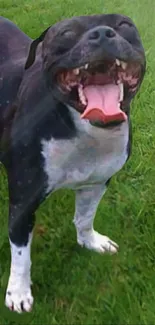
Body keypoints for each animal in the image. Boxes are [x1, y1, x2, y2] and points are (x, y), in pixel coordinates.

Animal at [0, 13, 145, 312]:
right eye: (66, 33)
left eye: (124, 25)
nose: (102, 33)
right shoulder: (22, 203)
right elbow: (21, 253)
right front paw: (18, 292)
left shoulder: (97, 182)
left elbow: (85, 217)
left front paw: (90, 241)